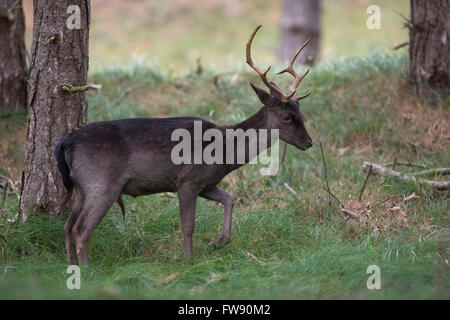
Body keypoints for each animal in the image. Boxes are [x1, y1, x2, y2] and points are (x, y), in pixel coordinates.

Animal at [55, 25, 312, 264]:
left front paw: (218, 242)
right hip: (102, 183)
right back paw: (87, 268)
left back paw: (72, 265)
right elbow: (188, 224)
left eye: (301, 112)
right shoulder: (187, 179)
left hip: (82, 186)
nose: (308, 142)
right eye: (286, 117)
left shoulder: (207, 183)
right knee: (81, 229)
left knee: (68, 226)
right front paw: (189, 260)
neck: (225, 152)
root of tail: (68, 140)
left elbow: (229, 199)